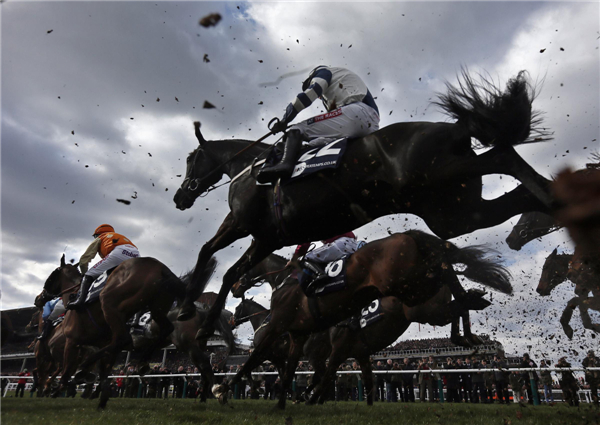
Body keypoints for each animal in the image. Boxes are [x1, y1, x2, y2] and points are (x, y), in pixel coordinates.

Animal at [36, 253, 211, 406]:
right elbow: (104, 369)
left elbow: (67, 368)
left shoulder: (72, 341)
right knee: (168, 332)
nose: (39, 298)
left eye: (53, 274)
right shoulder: (102, 345)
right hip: (160, 309)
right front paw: (98, 393)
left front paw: (56, 389)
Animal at [216, 230, 510, 410]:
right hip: (420, 294)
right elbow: (298, 373)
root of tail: (409, 235)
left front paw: (223, 389)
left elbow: (257, 362)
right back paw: (469, 322)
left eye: (246, 263)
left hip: (414, 293)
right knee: (452, 288)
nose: (235, 288)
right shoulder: (317, 342)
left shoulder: (283, 330)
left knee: (450, 284)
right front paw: (289, 401)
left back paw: (467, 322)